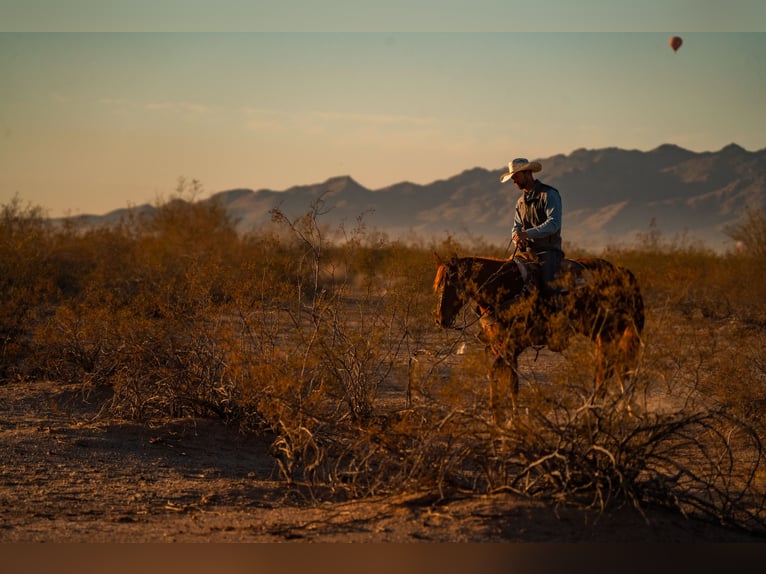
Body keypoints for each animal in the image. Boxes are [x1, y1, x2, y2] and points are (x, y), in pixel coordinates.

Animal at [436, 254, 644, 420]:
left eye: (450, 284)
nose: (441, 319)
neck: (505, 287)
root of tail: (622, 273)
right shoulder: (501, 346)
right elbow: (512, 381)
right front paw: (513, 420)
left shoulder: (512, 344)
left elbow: (494, 373)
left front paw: (499, 421)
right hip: (604, 334)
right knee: (618, 369)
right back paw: (623, 409)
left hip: (607, 332)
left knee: (607, 371)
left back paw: (595, 412)